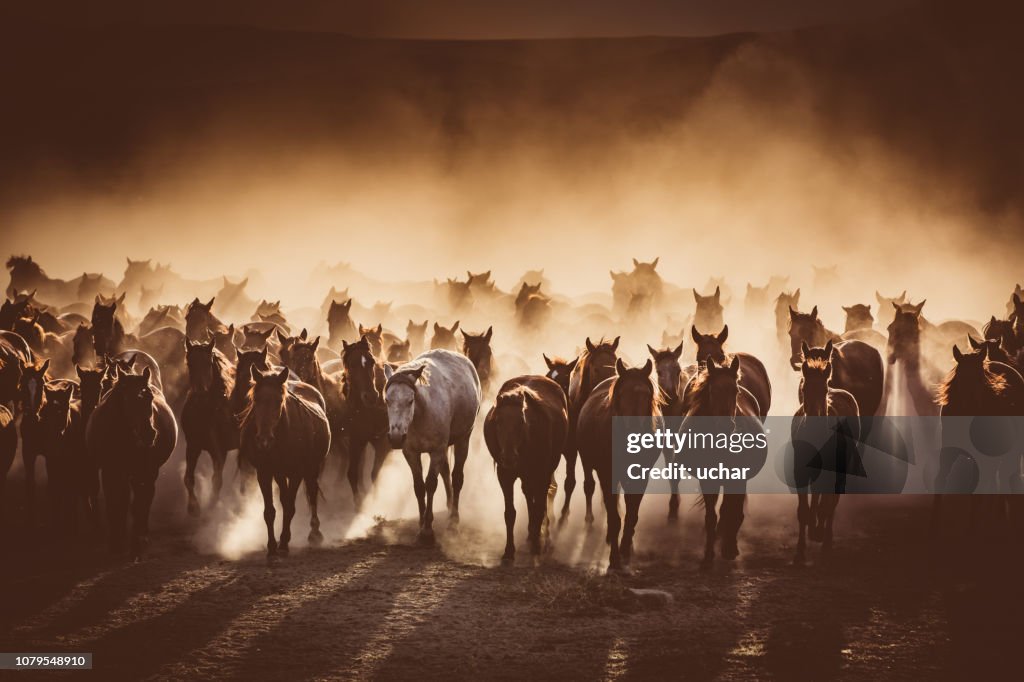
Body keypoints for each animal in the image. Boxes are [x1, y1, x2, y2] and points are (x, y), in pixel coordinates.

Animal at [87, 364, 178, 557]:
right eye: (126, 398)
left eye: (149, 397)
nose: (149, 434)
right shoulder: (110, 472)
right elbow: (115, 503)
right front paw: (116, 543)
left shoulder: (144, 472)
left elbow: (139, 504)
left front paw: (136, 542)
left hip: (146, 474)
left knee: (144, 500)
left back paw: (141, 534)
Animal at [238, 366, 327, 552]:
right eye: (255, 400)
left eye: (279, 401)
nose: (264, 440)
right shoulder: (264, 473)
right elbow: (270, 511)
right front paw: (272, 545)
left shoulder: (296, 473)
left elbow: (290, 507)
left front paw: (284, 542)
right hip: (279, 474)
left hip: (312, 468)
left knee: (312, 494)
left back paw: (315, 533)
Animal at [385, 350, 481, 536]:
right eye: (387, 400)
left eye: (410, 400)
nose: (396, 437)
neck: (420, 415)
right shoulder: (411, 453)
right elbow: (419, 486)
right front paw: (422, 522)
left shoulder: (436, 450)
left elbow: (430, 484)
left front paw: (428, 529)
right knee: (445, 472)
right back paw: (450, 507)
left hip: (463, 439)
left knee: (456, 477)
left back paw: (454, 520)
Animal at [481, 374, 569, 561]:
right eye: (497, 421)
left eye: (522, 422)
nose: (508, 457)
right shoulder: (505, 475)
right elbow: (510, 513)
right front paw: (509, 550)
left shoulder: (542, 473)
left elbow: (539, 508)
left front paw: (537, 545)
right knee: (529, 496)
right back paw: (531, 535)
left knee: (540, 500)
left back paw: (541, 536)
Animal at [581, 358, 659, 569]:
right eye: (622, 394)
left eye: (646, 394)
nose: (635, 432)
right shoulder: (607, 475)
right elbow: (615, 517)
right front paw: (615, 558)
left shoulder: (641, 477)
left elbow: (632, 516)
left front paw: (625, 550)